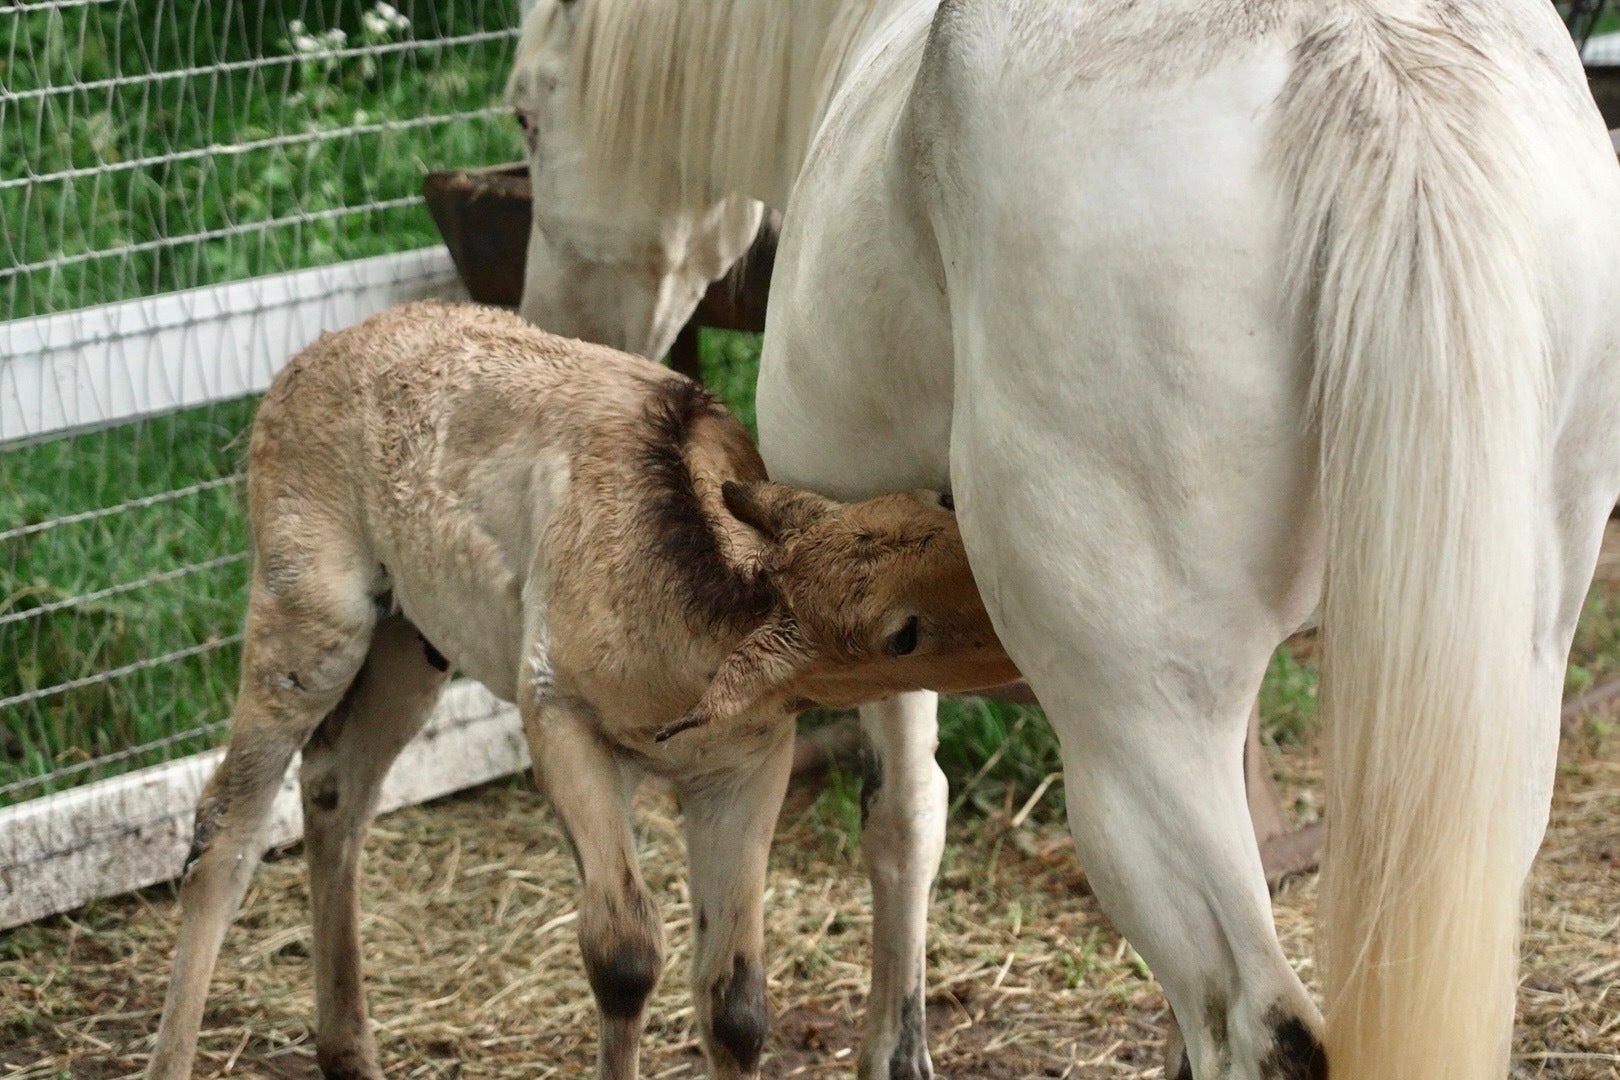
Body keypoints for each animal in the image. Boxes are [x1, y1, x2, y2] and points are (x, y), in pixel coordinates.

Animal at [505, 2, 1620, 1077]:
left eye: (526, 112)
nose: (546, 326)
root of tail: (1365, 60)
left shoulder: (869, 622)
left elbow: (904, 822)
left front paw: (895, 1052)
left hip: (1133, 739)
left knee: (1258, 1027)